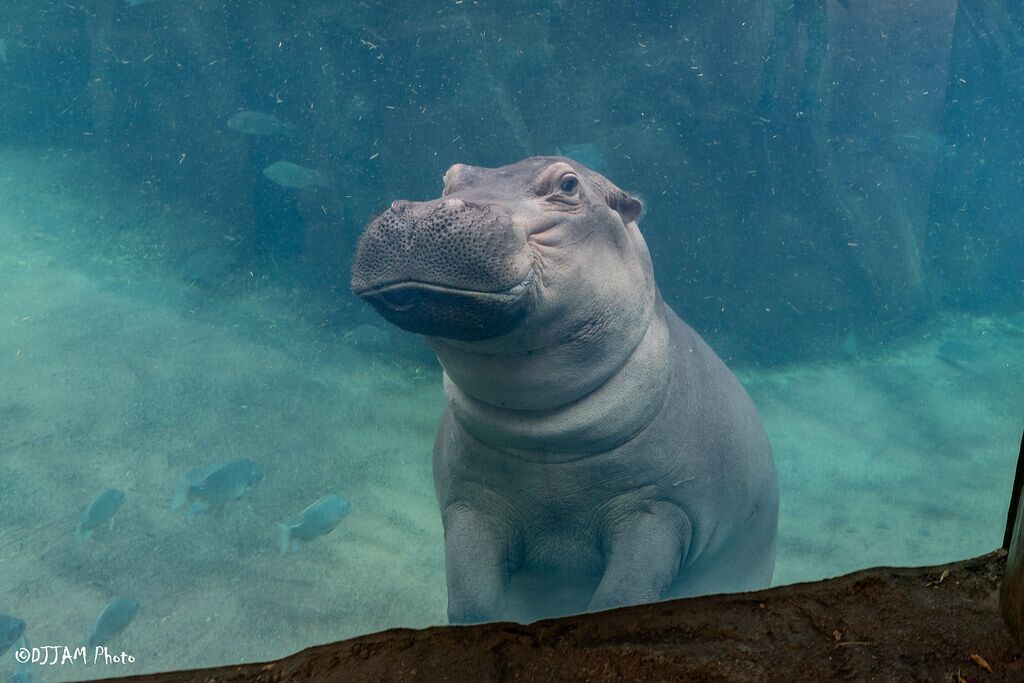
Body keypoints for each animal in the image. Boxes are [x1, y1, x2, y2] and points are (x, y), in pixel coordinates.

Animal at [351, 157, 779, 624]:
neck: (544, 432)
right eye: (449, 177)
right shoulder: (471, 502)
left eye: (569, 184)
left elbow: (620, 597)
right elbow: (472, 603)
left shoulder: (659, 509)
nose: (420, 212)